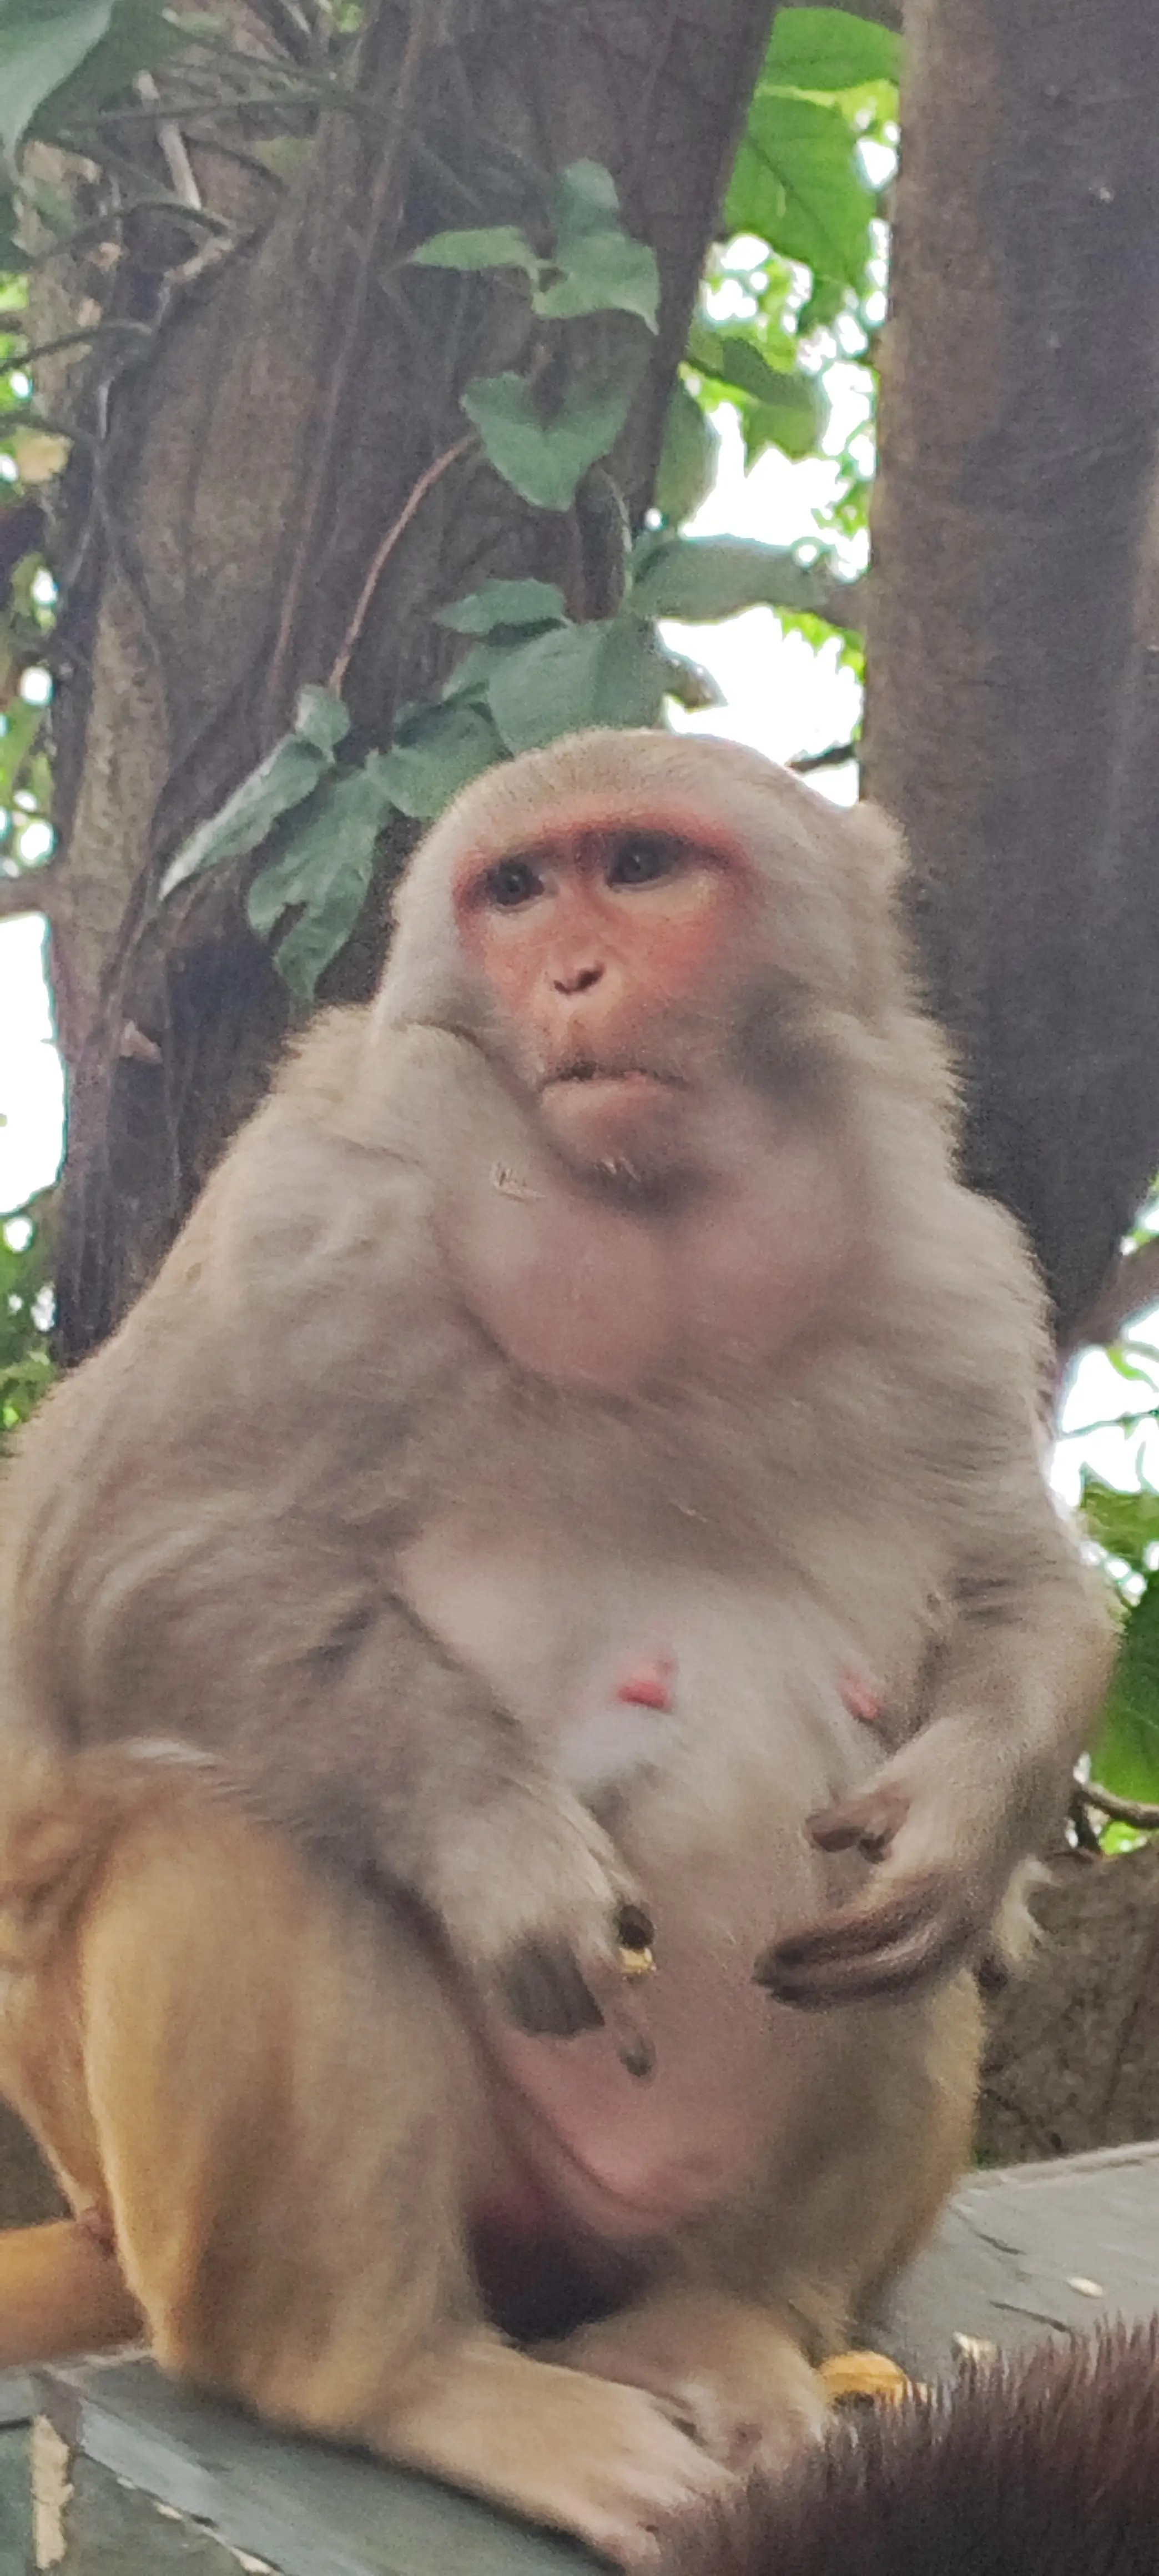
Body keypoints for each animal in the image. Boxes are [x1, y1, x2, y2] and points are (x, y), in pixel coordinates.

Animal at [0, 731, 1111, 2561]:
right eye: (517, 891)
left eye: (644, 867)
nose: (573, 975)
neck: (655, 1251)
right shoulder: (309, 1212)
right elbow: (115, 1566)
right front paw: (499, 1842)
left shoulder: (955, 1266)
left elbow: (1016, 1581)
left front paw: (970, 1816)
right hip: (203, 2197)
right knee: (229, 1821)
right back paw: (398, 2375)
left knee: (886, 1933)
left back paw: (722, 2315)